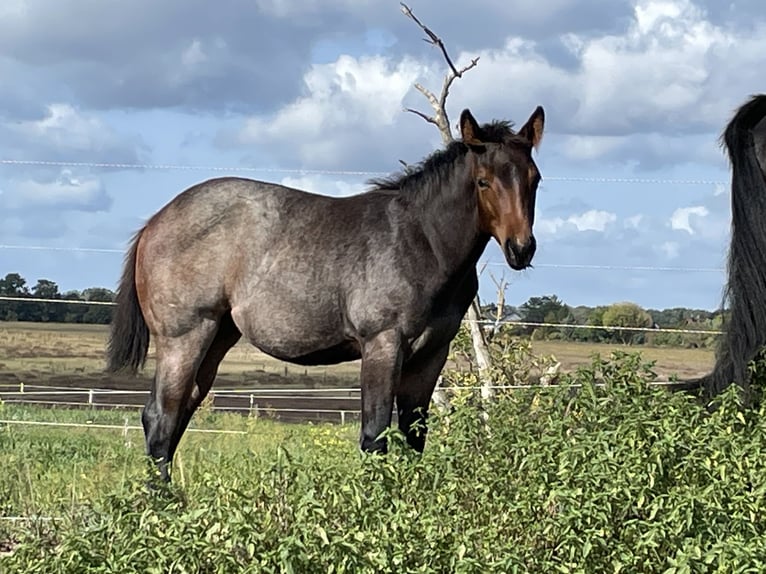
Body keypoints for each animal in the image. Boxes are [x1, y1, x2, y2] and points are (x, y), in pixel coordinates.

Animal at [106, 106, 544, 484]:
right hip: (185, 337)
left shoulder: (431, 355)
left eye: (535, 178)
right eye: (483, 181)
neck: (422, 240)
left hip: (217, 337)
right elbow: (375, 436)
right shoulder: (382, 344)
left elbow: (413, 437)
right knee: (161, 416)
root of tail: (155, 222)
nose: (521, 249)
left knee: (180, 411)